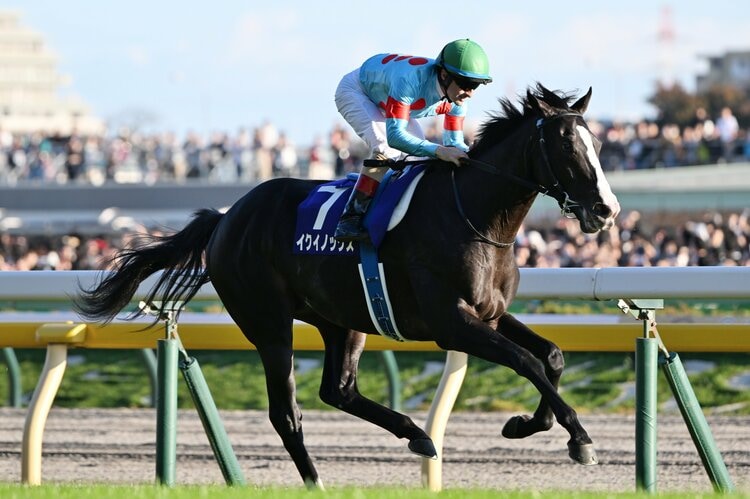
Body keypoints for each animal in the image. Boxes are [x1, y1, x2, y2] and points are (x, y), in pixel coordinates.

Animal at [75, 83, 620, 488]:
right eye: (568, 146)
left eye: (598, 145)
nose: (606, 209)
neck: (474, 215)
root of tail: (227, 218)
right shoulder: (451, 323)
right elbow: (527, 361)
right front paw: (580, 438)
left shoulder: (490, 313)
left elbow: (551, 356)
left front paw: (527, 424)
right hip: (269, 323)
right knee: (286, 412)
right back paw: (317, 481)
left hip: (342, 319)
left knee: (338, 390)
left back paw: (416, 434)